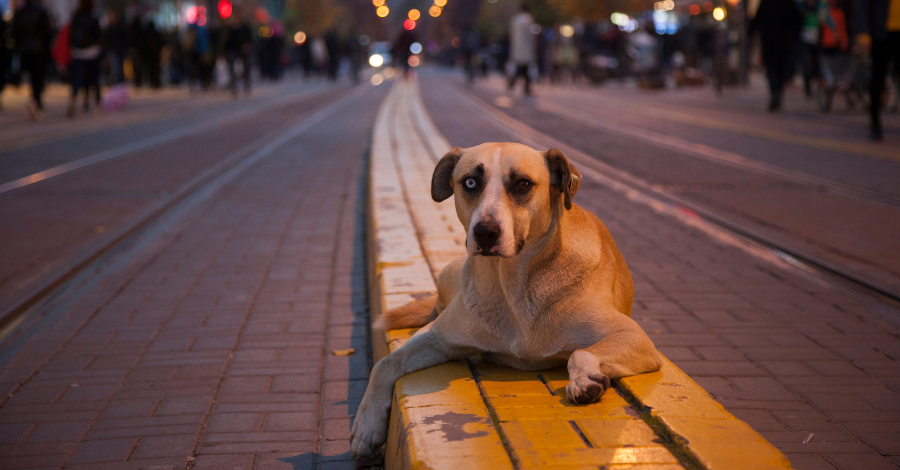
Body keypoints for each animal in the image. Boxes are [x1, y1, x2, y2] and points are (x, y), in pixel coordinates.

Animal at [350, 143, 660, 458]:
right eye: (470, 182)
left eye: (522, 184)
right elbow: (385, 363)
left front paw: (583, 380)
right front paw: (366, 425)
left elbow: (580, 352)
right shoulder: (438, 337)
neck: (512, 288)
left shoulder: (634, 337)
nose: (485, 232)